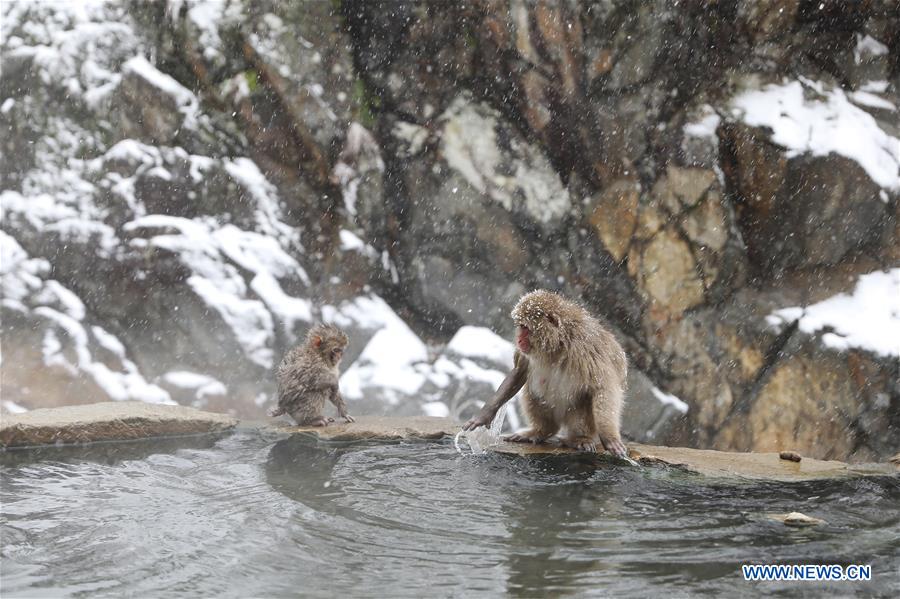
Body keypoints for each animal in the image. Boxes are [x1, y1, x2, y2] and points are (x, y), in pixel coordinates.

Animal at [463, 290, 628, 456]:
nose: (519, 339)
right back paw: (541, 431)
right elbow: (519, 372)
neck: (558, 343)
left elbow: (603, 388)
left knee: (583, 400)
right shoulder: (528, 353)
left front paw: (609, 438)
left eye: (525, 327)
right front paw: (484, 415)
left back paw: (580, 438)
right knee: (533, 391)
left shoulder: (586, 348)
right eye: (520, 326)